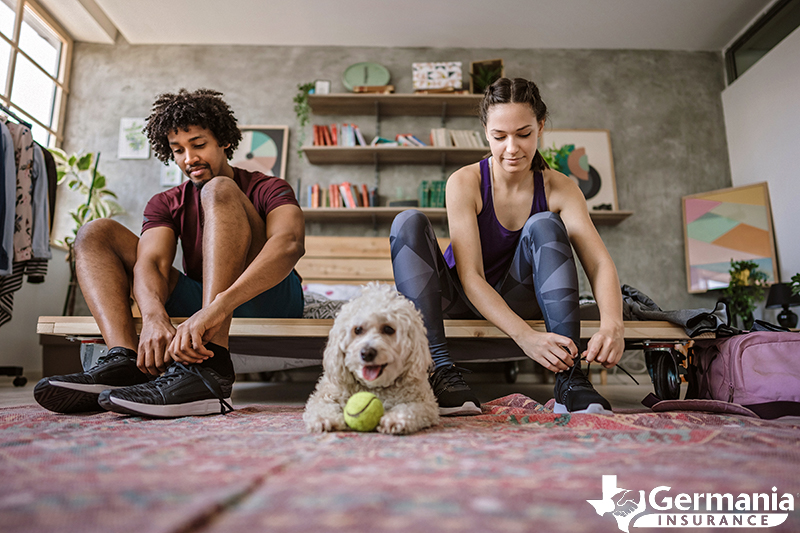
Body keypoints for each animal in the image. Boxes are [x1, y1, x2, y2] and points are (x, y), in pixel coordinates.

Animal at [302, 282, 438, 432]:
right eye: (357, 330)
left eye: (388, 329)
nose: (367, 353)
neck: (374, 386)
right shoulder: (324, 395)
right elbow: (321, 406)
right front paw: (324, 420)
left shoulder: (424, 403)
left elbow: (410, 409)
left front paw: (395, 419)